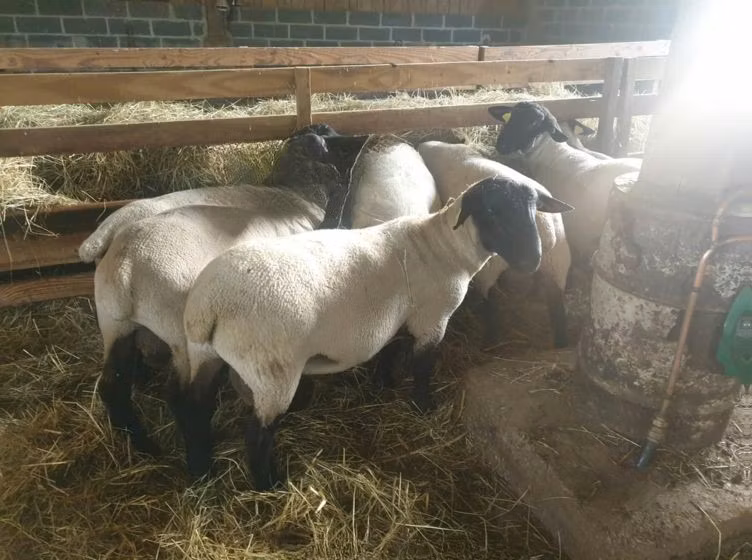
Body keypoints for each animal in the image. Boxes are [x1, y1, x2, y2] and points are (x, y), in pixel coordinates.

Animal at [91, 129, 367, 456]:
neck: (294, 193)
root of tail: (125, 266)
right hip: (181, 331)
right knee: (182, 396)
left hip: (114, 322)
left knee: (113, 385)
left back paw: (144, 443)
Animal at [173, 176, 572, 488]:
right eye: (491, 211)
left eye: (533, 210)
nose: (532, 261)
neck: (446, 248)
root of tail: (209, 305)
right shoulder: (433, 318)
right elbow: (423, 366)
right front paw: (424, 406)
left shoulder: (395, 318)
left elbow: (390, 350)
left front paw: (384, 384)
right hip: (272, 370)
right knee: (257, 435)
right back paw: (268, 485)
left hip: (205, 354)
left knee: (194, 406)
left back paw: (201, 470)